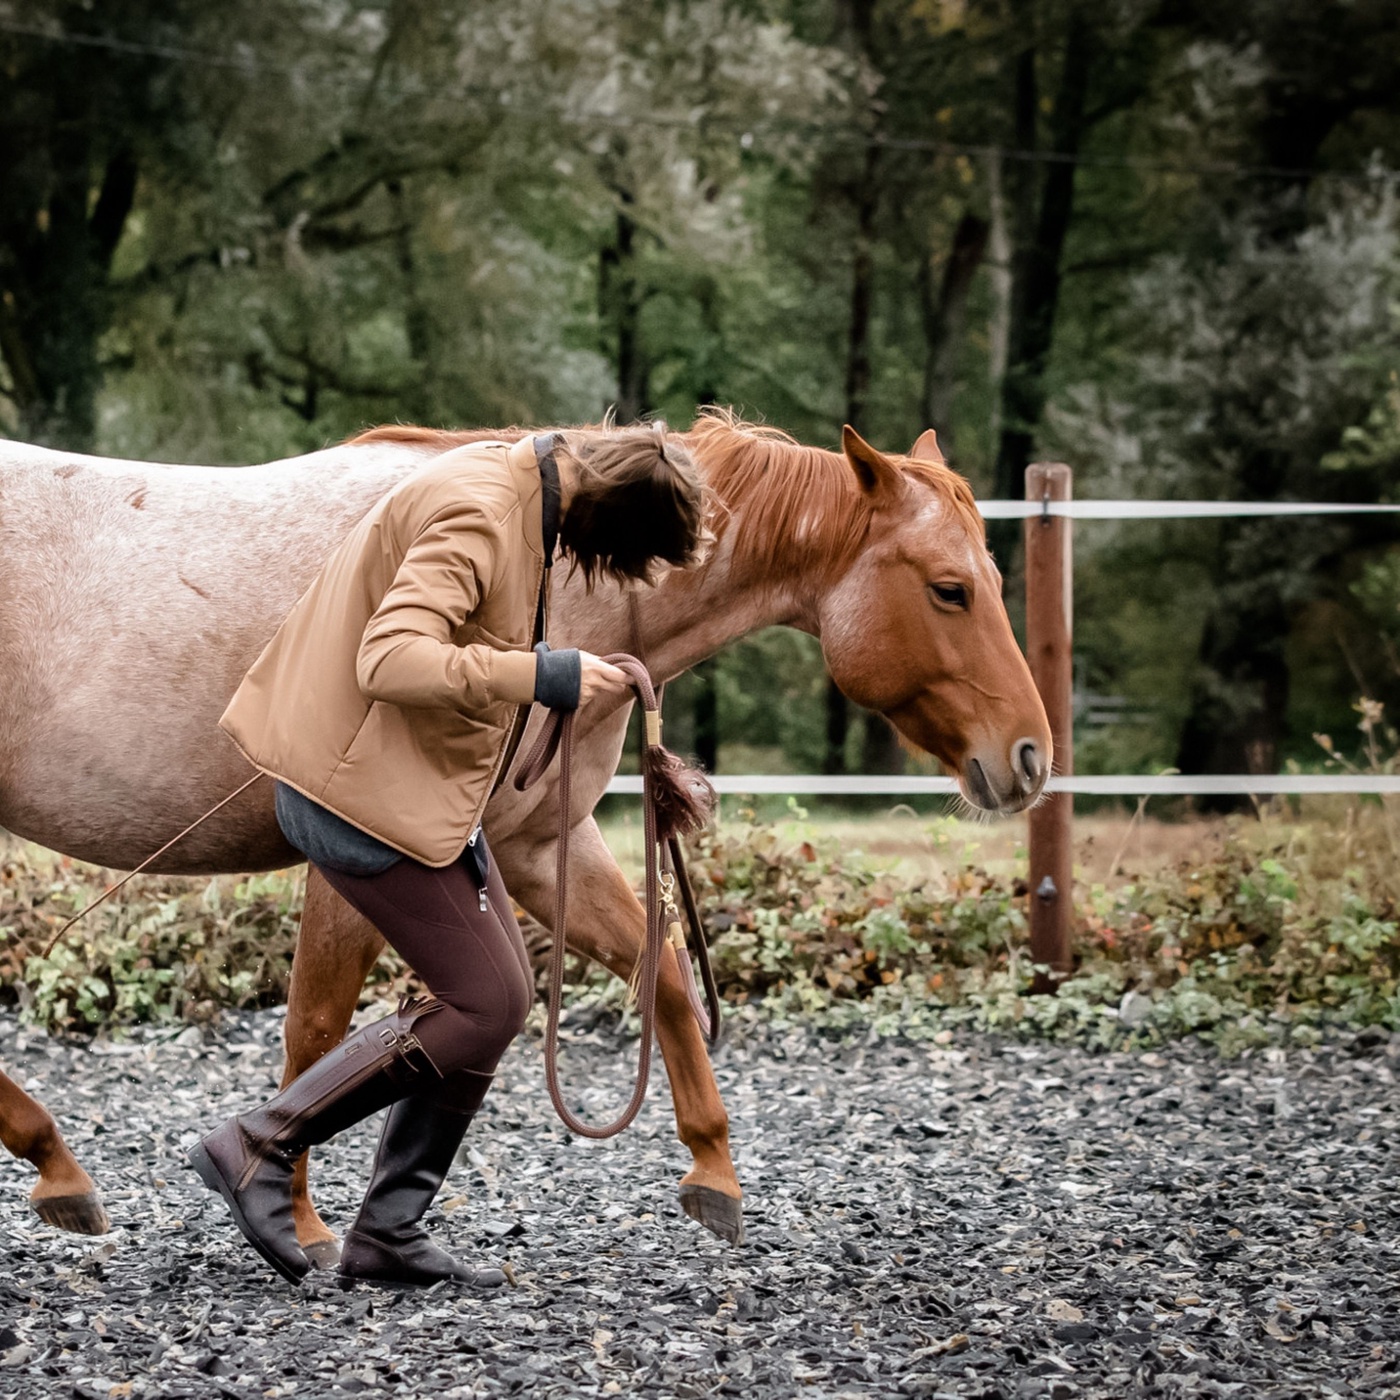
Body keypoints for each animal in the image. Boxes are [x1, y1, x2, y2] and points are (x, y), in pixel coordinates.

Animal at [0, 412, 1051, 1255]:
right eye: (950, 589)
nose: (1031, 757)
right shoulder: (355, 855)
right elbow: (314, 1032)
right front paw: (291, 1217)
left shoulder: (541, 846)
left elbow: (661, 970)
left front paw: (713, 1175)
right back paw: (57, 1163)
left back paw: (54, 1166)